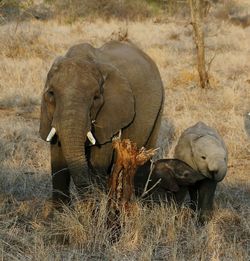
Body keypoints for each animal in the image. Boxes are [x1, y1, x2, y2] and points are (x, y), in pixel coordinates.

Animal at [39, 39, 164, 204]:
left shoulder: (109, 114)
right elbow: (57, 161)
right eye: (51, 93)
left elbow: (99, 160)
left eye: (96, 98)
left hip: (159, 105)